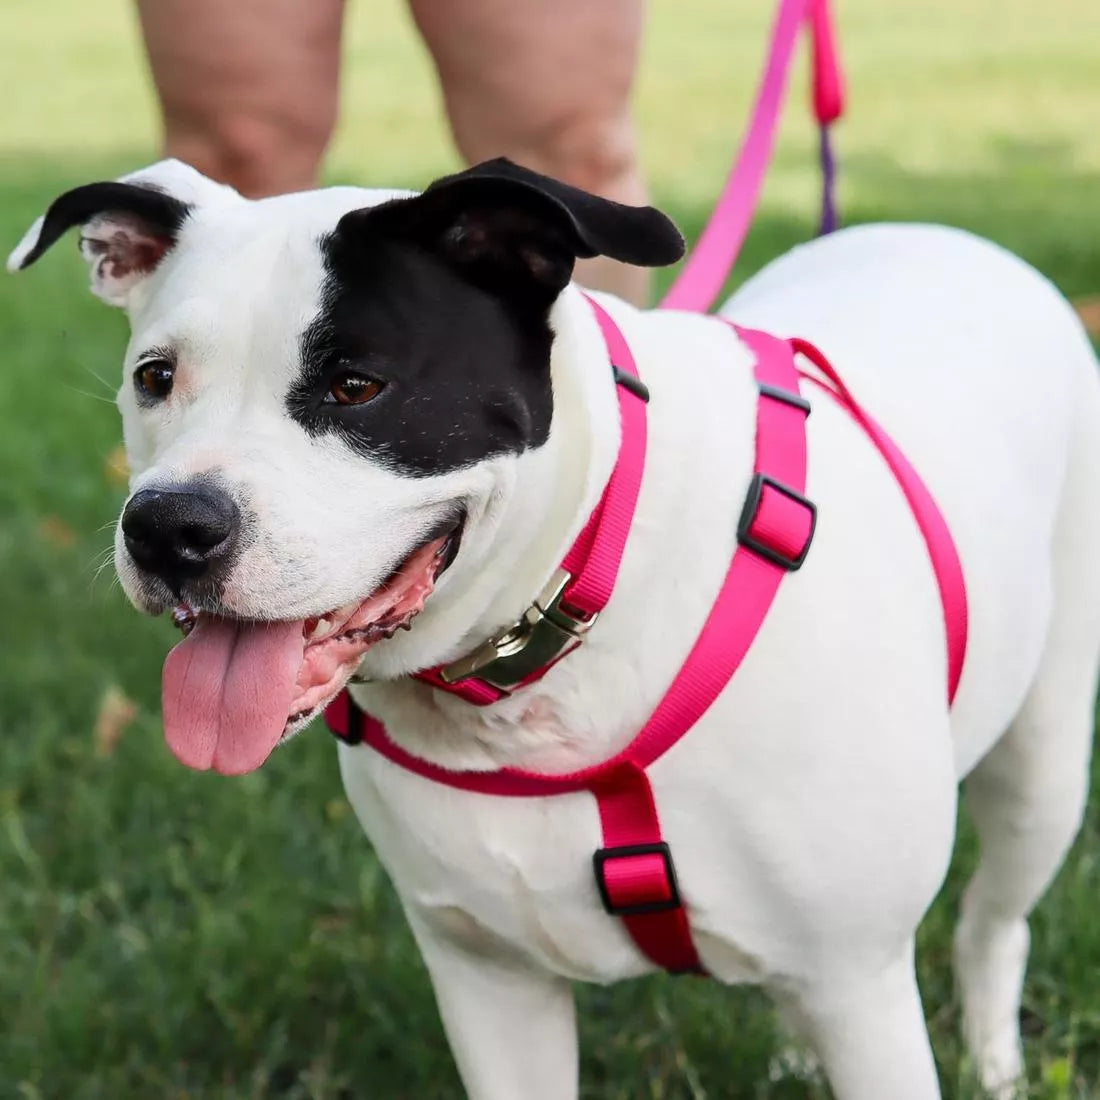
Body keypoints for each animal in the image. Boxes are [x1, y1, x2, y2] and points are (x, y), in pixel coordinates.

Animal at [10, 157, 1100, 1100]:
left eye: (358, 385)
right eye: (155, 377)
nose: (166, 527)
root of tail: (950, 236)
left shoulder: (861, 984)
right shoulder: (490, 985)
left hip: (1040, 773)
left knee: (993, 923)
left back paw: (995, 1065)